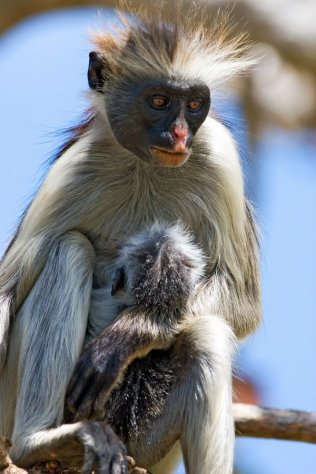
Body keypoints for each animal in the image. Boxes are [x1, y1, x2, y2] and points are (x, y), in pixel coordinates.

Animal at [0, 4, 260, 474]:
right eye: (158, 101)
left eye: (195, 104)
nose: (179, 135)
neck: (147, 166)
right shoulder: (75, 168)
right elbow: (6, 293)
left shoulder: (217, 151)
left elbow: (244, 301)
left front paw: (136, 329)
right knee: (69, 250)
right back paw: (39, 443)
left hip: (148, 447)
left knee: (207, 334)